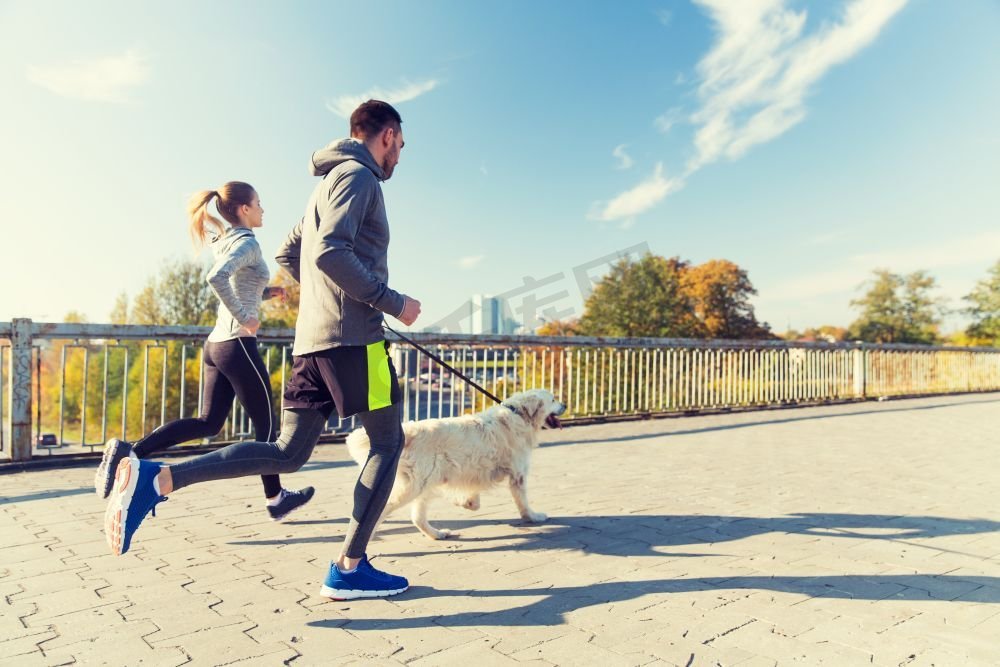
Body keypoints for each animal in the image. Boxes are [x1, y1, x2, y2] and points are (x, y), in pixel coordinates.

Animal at [346, 388, 568, 540]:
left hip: (426, 483)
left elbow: (474, 493)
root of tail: (410, 431)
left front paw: (466, 502)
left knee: (417, 517)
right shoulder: (518, 473)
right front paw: (534, 517)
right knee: (380, 510)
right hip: (414, 487)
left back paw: (437, 534)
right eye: (553, 399)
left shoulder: (476, 470)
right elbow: (523, 502)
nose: (565, 405)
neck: (519, 414)